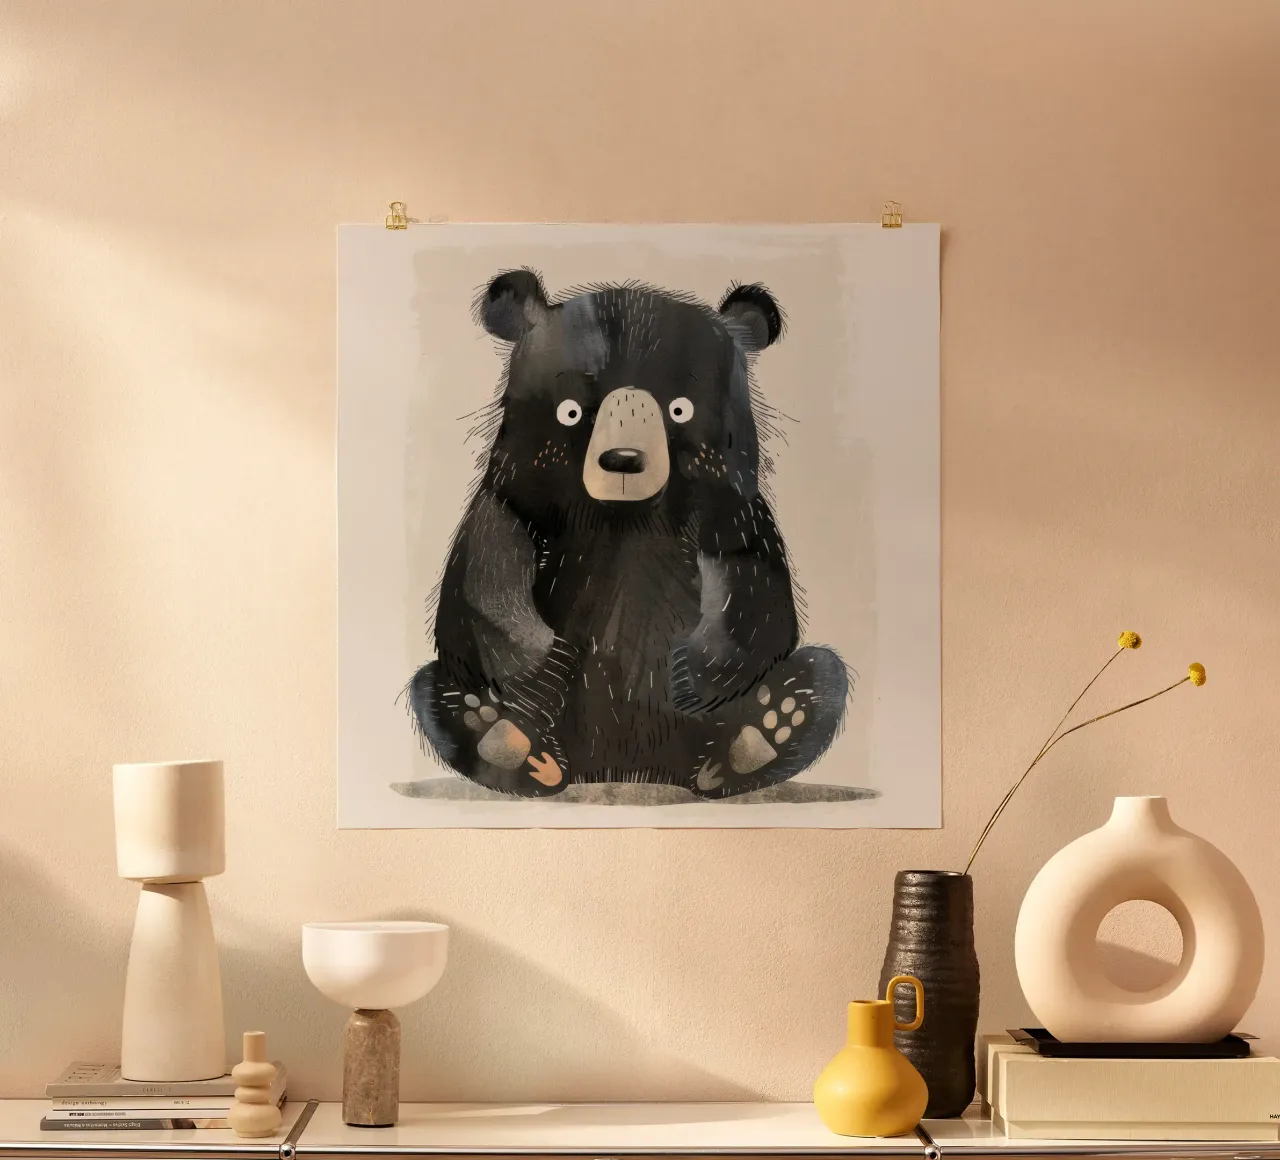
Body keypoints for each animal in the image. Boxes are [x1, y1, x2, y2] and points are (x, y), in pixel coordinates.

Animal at [409, 269, 849, 799]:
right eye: (572, 411)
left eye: (679, 409)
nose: (622, 461)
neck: (624, 514)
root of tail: (625, 770)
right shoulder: (512, 494)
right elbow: (482, 571)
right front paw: (549, 663)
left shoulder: (733, 506)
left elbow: (756, 588)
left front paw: (686, 671)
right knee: (433, 686)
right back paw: (511, 743)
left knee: (821, 675)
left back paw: (754, 740)